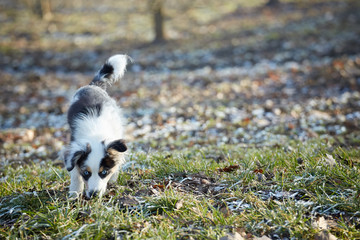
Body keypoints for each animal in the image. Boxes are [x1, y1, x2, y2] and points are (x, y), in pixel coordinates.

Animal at [64, 54, 130, 199]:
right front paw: (74, 194)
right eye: (86, 173)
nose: (93, 195)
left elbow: (118, 160)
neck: (95, 133)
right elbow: (75, 173)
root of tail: (93, 86)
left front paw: (113, 179)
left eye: (103, 172)